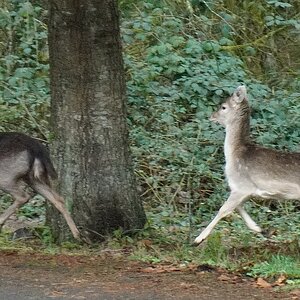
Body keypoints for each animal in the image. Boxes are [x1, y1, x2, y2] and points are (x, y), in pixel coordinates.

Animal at [195, 84, 300, 244]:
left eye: (223, 107)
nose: (211, 116)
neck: (233, 155)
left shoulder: (242, 185)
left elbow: (223, 210)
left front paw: (198, 239)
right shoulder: (245, 189)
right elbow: (238, 208)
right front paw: (260, 229)